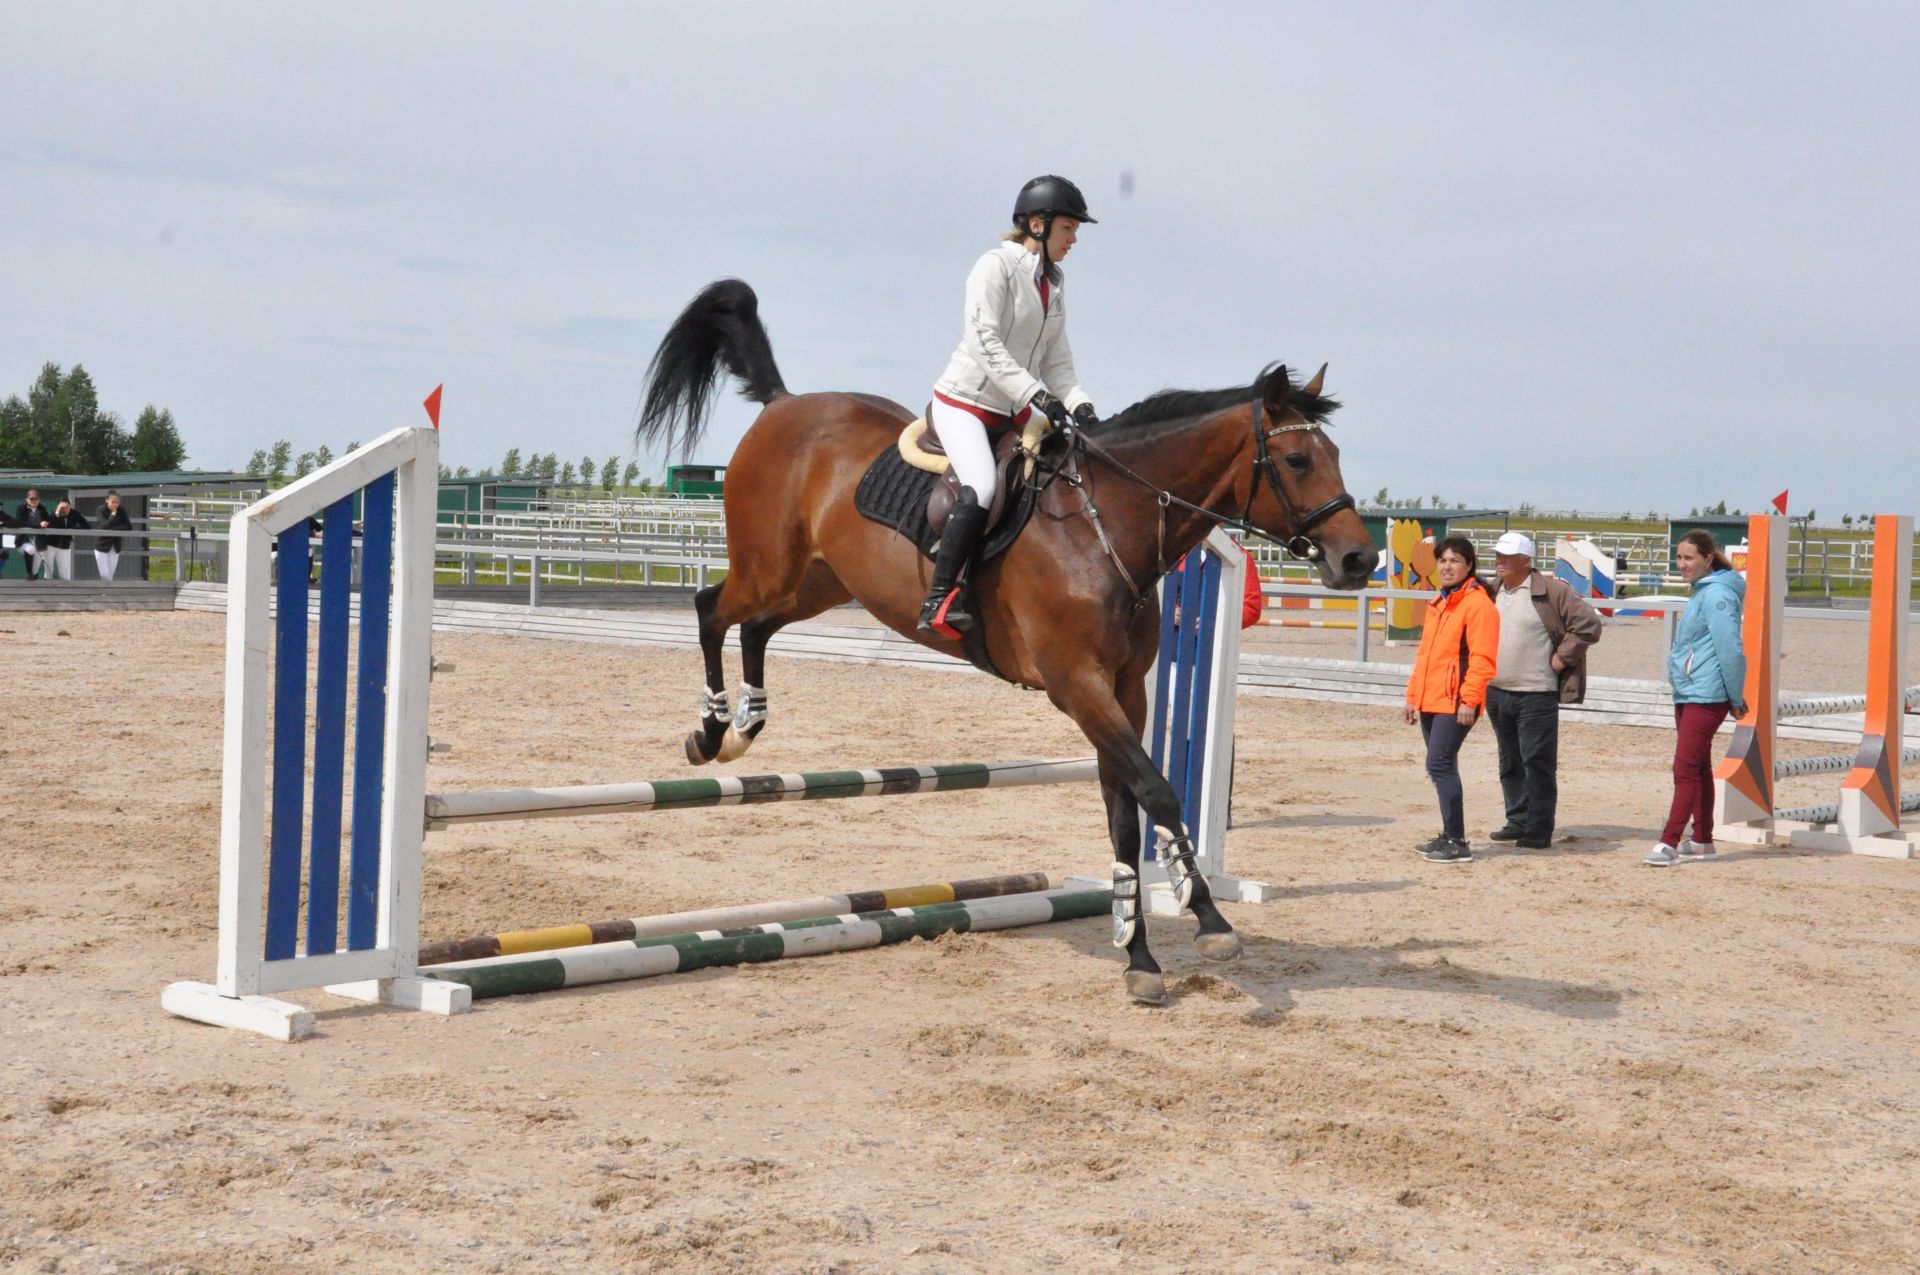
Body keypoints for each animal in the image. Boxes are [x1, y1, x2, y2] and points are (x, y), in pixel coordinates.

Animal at [637, 282, 1374, 1006]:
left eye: (1336, 457)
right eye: (1298, 459)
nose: (1359, 560)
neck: (1104, 525)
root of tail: (785, 406)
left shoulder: (1123, 692)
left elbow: (1125, 814)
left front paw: (1138, 957)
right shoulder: (1077, 685)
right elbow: (1159, 793)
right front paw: (1208, 917)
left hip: (817, 582)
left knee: (756, 626)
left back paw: (745, 727)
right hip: (769, 569)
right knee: (711, 611)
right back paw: (710, 732)